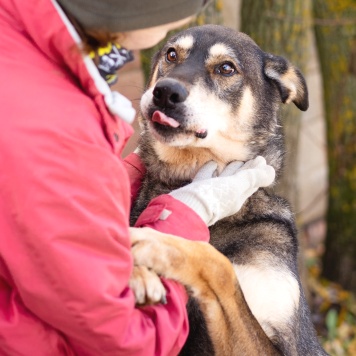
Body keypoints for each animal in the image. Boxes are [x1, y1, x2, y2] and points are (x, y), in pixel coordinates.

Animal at [129, 25, 326, 356]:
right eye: (172, 54)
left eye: (226, 68)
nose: (165, 92)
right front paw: (136, 270)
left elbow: (221, 268)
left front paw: (158, 242)